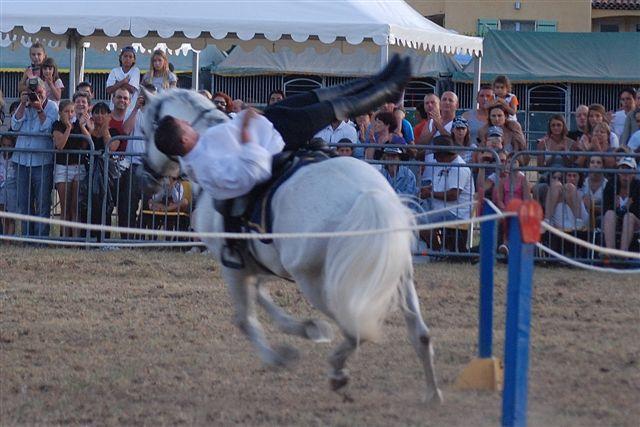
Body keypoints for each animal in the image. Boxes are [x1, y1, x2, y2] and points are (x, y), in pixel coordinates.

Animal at [139, 90, 440, 404]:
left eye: (144, 130)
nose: (146, 175)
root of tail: (367, 196)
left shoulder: (232, 266)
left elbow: (245, 319)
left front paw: (281, 356)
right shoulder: (257, 263)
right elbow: (262, 297)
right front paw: (307, 329)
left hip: (316, 282)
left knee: (354, 327)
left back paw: (337, 371)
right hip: (398, 273)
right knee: (419, 334)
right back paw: (432, 393)